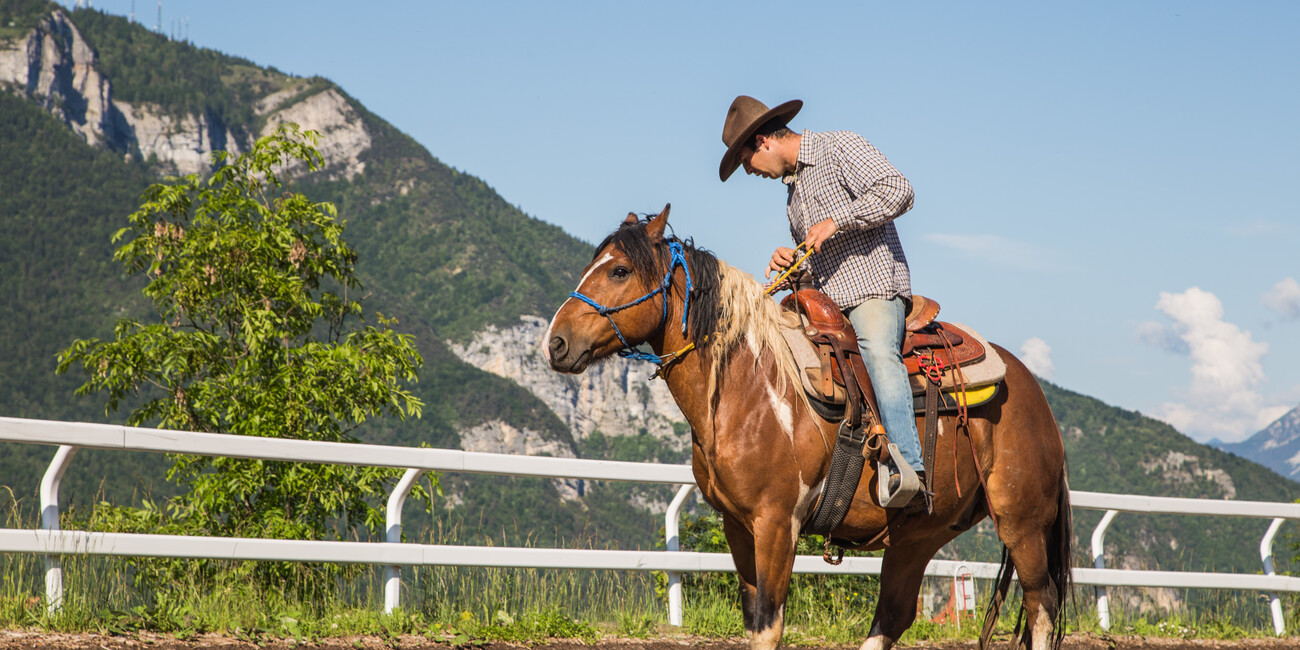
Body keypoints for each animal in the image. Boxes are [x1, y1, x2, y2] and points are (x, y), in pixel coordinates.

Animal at [543, 205, 1071, 647]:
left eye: (619, 270)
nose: (556, 343)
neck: (749, 385)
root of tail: (1032, 390)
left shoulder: (778, 523)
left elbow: (769, 625)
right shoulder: (738, 527)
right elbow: (754, 619)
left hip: (1022, 523)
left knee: (1041, 606)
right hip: (919, 534)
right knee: (894, 616)